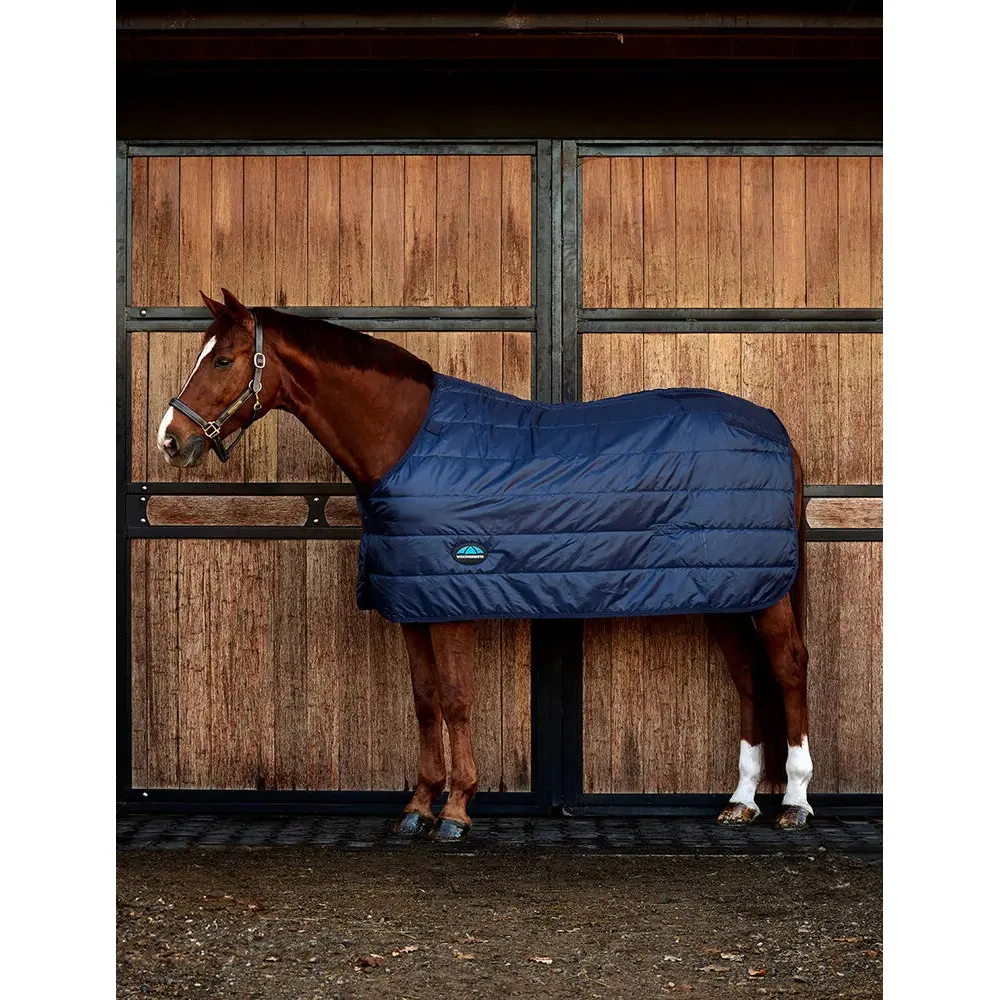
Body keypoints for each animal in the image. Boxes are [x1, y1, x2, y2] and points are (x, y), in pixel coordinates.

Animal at [157, 288, 814, 839]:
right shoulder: (414, 601)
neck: (407, 443)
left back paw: (795, 802)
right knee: (748, 674)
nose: (169, 439)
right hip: (724, 589)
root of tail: (775, 429)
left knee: (786, 667)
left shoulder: (452, 596)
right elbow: (424, 701)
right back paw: (741, 801)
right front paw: (418, 807)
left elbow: (454, 698)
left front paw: (456, 810)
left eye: (224, 361)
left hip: (765, 593)